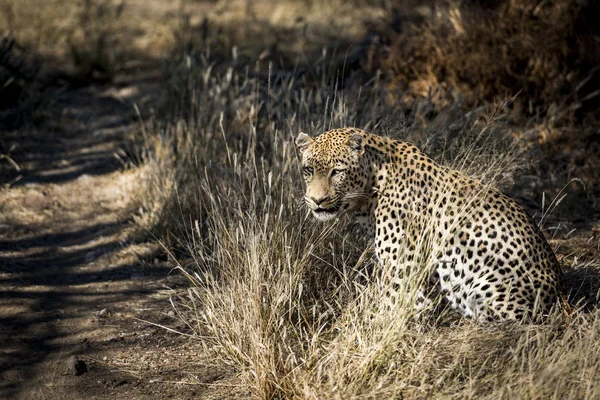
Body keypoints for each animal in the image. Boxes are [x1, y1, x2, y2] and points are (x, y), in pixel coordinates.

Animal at [296, 128, 568, 324]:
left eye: (337, 171)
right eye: (308, 170)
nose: (317, 200)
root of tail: (562, 298)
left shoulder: (401, 270)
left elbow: (389, 310)